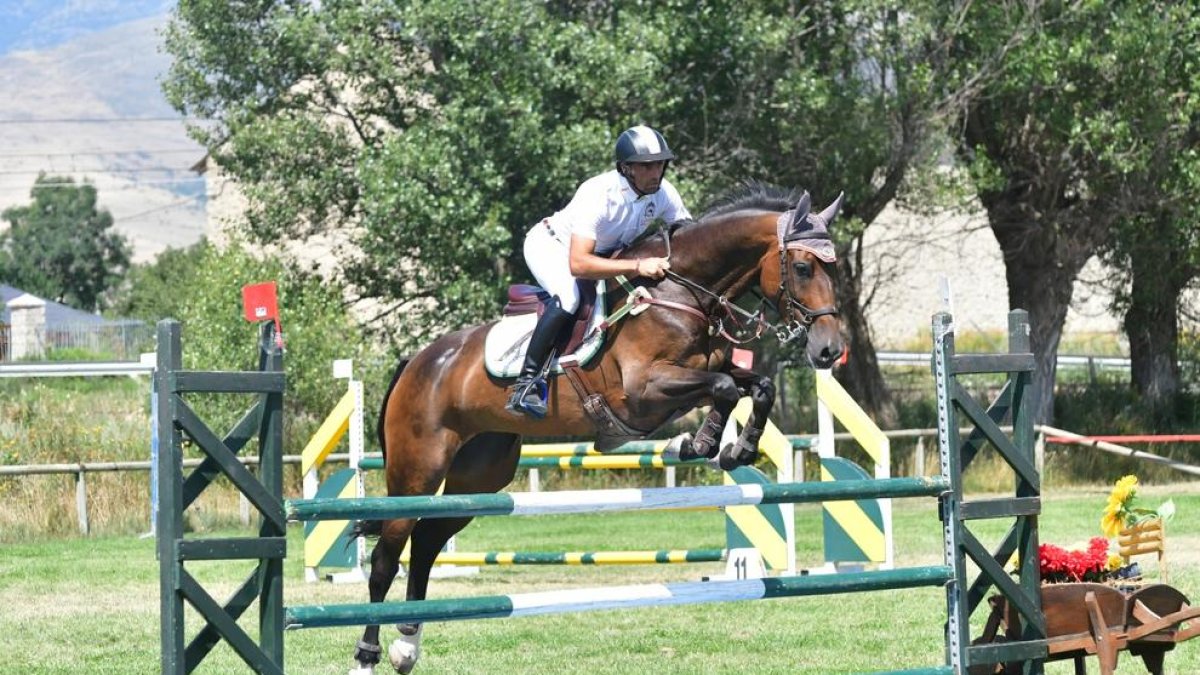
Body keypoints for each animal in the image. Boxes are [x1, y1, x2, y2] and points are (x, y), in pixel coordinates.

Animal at [350, 181, 849, 667]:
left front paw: (731, 449)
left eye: (835, 267)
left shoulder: (700, 376)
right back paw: (367, 654)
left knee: (426, 541)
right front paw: (701, 444)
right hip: (417, 469)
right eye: (802, 267)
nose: (829, 350)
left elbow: (755, 386)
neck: (678, 295)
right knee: (387, 555)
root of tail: (417, 362)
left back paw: (407, 644)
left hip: (480, 475)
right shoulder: (644, 391)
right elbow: (725, 388)